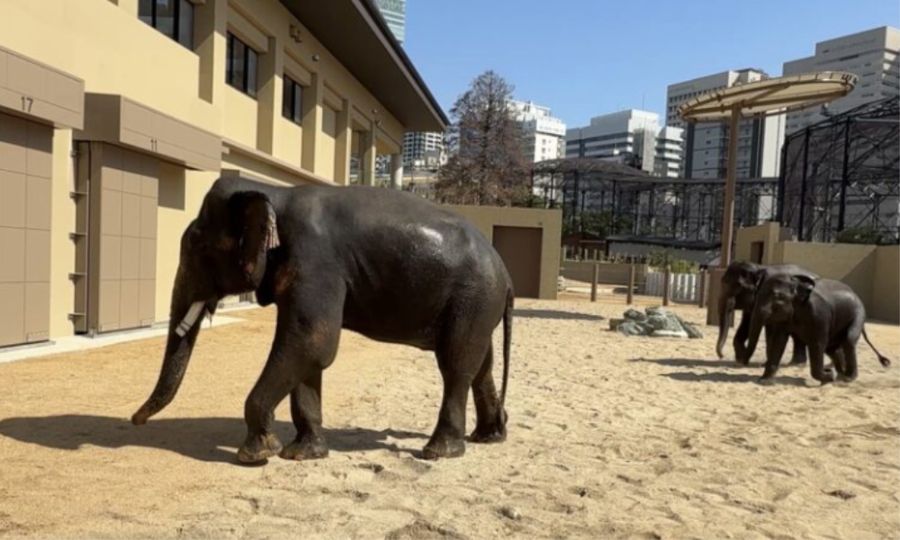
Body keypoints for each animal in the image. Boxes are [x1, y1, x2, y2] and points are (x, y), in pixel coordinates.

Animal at [131, 176, 514, 464]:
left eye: (198, 247)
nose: (135, 420)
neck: (275, 192)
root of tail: (506, 274)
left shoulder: (315, 261)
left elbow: (312, 340)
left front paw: (256, 454)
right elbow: (308, 353)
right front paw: (302, 454)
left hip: (472, 298)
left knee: (456, 365)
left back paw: (438, 452)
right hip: (478, 305)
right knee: (482, 364)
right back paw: (488, 437)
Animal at [744, 274, 891, 384]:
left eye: (778, 296)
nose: (743, 363)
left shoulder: (819, 314)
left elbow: (817, 344)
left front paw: (829, 376)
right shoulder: (786, 317)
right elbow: (778, 341)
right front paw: (763, 381)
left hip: (858, 313)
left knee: (848, 340)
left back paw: (847, 378)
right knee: (832, 348)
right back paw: (840, 375)